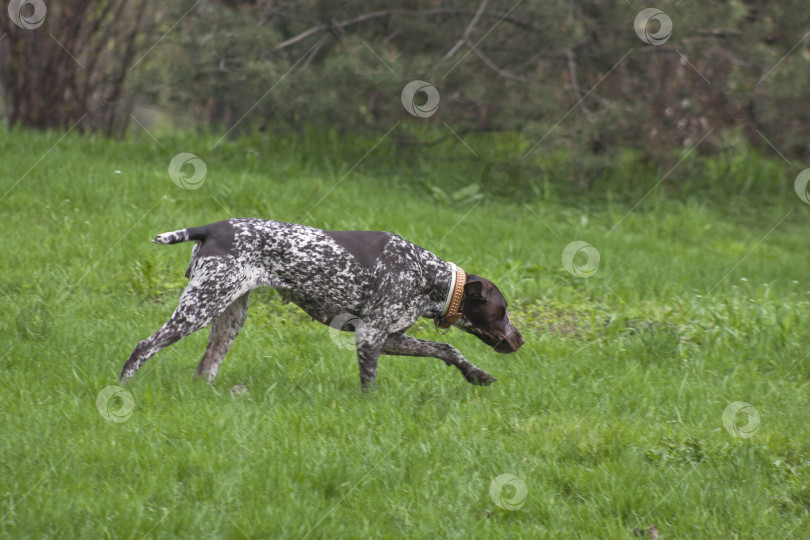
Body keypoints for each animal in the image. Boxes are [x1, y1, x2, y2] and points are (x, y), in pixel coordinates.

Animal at [120, 217, 524, 390]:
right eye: (503, 311)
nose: (520, 339)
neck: (427, 274)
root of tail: (212, 227)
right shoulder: (370, 337)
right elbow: (369, 384)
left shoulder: (391, 339)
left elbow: (447, 349)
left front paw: (476, 375)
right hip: (198, 310)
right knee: (143, 347)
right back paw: (121, 391)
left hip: (228, 319)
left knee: (205, 367)